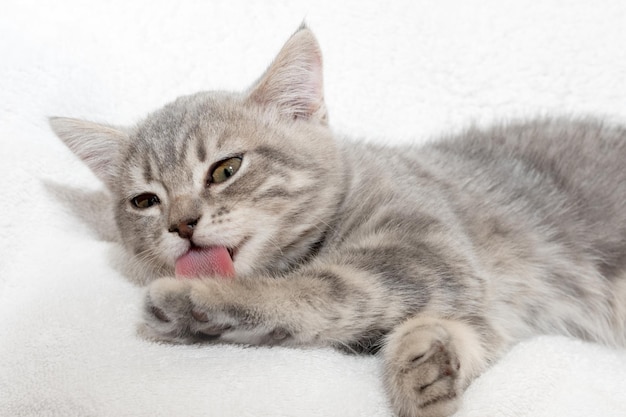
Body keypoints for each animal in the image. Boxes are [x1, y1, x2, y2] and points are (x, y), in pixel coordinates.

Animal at [51, 26, 624, 416]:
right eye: (145, 201)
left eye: (225, 169)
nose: (182, 224)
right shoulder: (486, 301)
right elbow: (466, 332)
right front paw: (428, 362)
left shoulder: (430, 253)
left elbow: (327, 288)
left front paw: (207, 300)